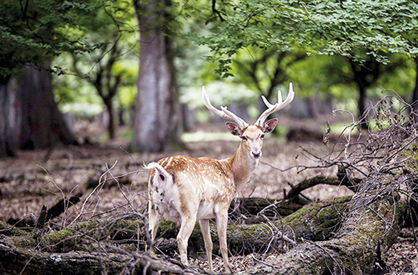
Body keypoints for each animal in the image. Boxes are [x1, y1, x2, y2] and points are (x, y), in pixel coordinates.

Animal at [144, 84, 294, 274]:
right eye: (243, 137)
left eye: (262, 135)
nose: (256, 153)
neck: (232, 174)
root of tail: (162, 173)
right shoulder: (222, 206)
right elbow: (223, 244)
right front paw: (228, 270)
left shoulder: (204, 216)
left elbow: (208, 244)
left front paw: (211, 270)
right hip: (188, 207)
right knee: (180, 239)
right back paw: (185, 267)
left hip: (153, 206)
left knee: (149, 238)